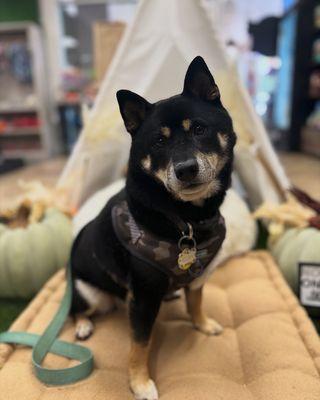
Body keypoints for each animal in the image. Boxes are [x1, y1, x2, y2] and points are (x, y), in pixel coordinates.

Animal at [70, 57, 235, 400]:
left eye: (199, 129)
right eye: (159, 142)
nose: (186, 169)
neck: (185, 219)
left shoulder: (198, 276)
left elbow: (195, 301)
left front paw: (202, 323)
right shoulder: (144, 299)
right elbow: (140, 344)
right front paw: (140, 382)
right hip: (89, 293)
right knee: (75, 310)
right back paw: (82, 325)